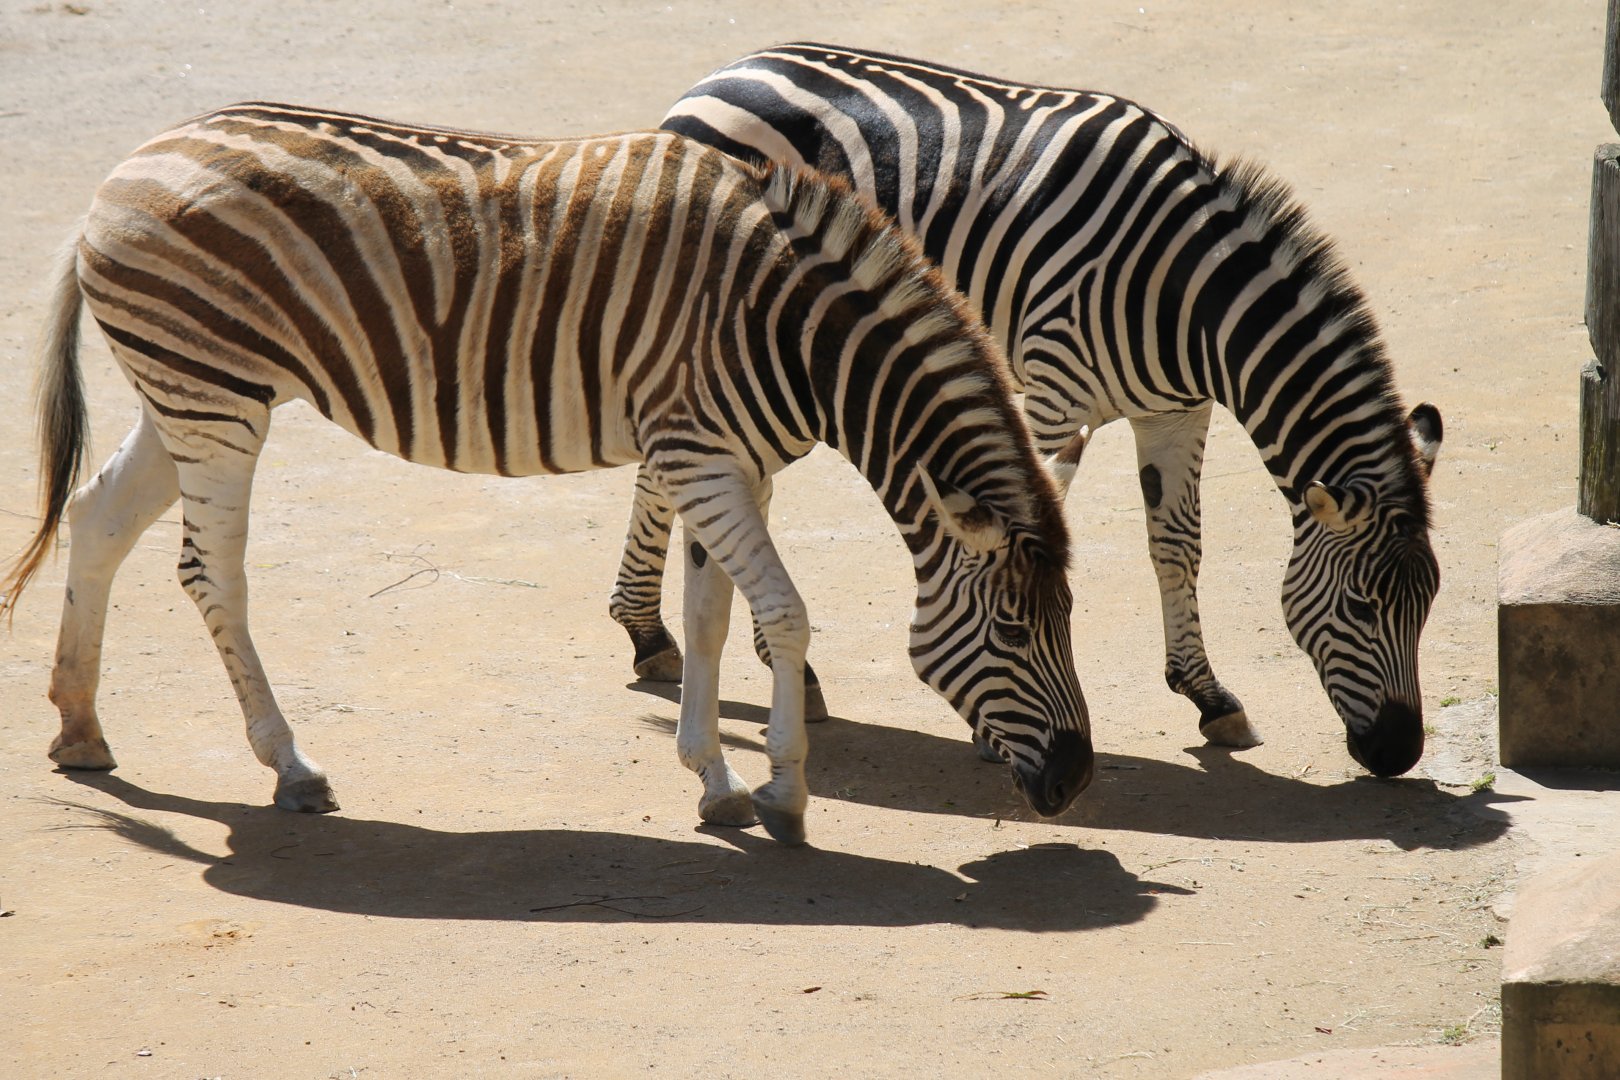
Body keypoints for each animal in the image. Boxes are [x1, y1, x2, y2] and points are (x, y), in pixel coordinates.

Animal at [0, 103, 1094, 846]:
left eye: (1068, 620)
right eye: (1013, 630)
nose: (1077, 782)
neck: (793, 330)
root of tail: (135, 158)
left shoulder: (723, 461)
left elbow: (712, 618)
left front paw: (715, 781)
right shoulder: (699, 453)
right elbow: (783, 615)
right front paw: (784, 791)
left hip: (191, 393)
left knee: (97, 518)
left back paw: (80, 729)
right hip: (214, 395)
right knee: (210, 574)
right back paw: (292, 766)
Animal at [605, 42, 1443, 778]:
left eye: (1428, 604)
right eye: (1363, 606)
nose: (1399, 754)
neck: (1188, 297)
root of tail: (725, 71)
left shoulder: (1176, 411)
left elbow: (1176, 546)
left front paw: (1208, 696)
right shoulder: (1053, 395)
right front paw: (998, 728)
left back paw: (675, 640)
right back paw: (670, 640)